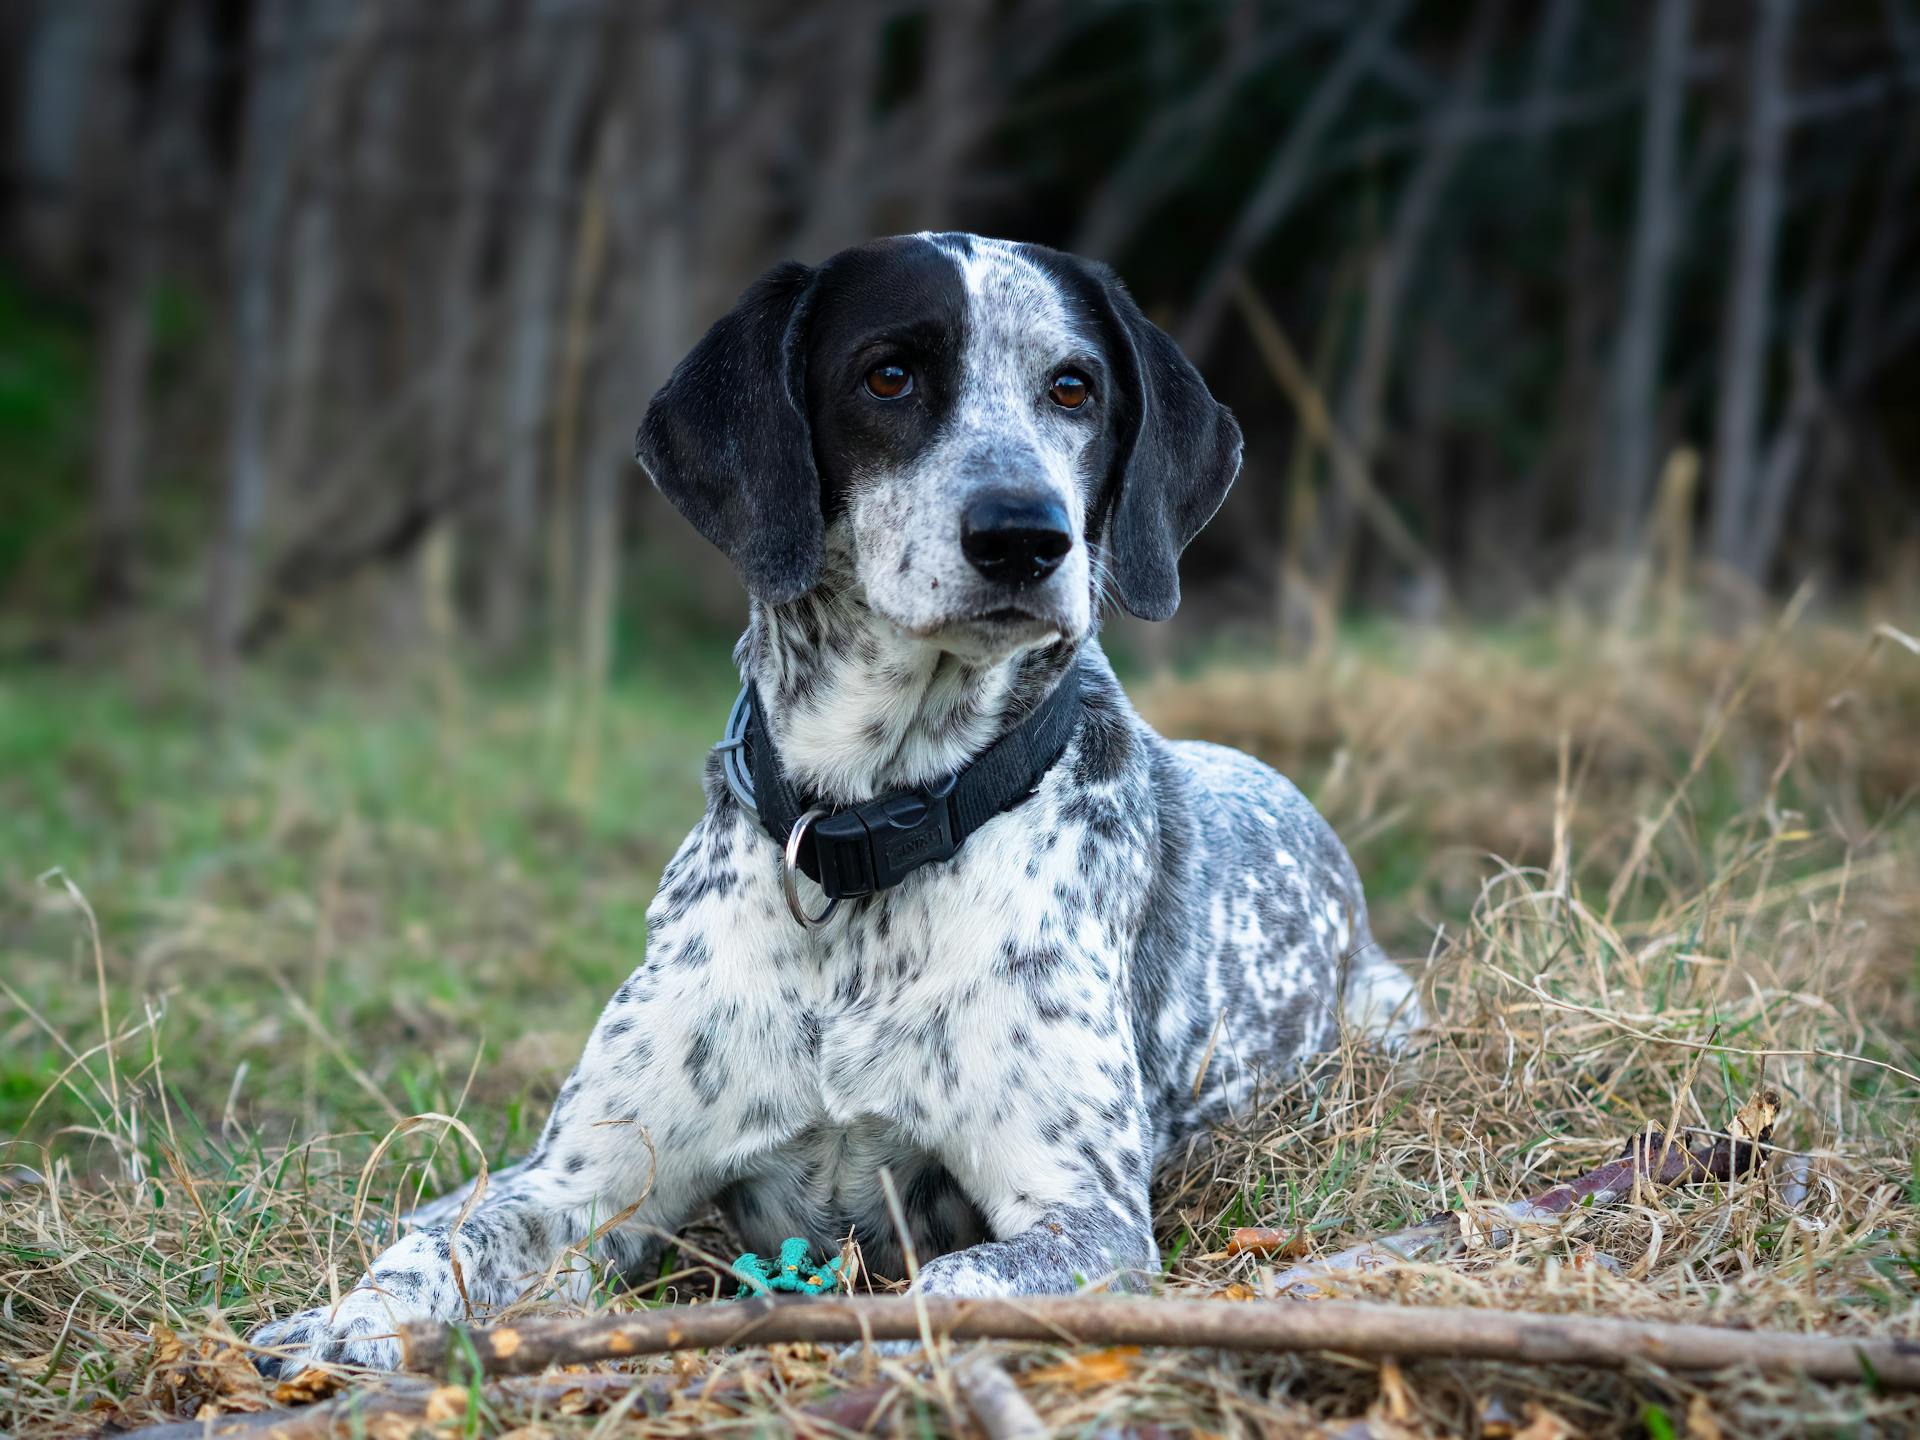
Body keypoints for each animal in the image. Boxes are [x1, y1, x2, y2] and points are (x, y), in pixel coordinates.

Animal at [247, 228, 1420, 1374]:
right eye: (887, 375)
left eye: (1073, 388)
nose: (1025, 535)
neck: (864, 836)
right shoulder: (588, 1182)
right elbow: (457, 1234)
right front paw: (347, 1320)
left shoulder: (1085, 1217)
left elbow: (955, 1281)